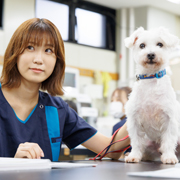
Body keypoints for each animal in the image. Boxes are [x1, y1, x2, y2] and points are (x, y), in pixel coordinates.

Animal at [124, 27, 180, 165]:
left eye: (160, 44)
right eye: (142, 45)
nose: (150, 54)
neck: (150, 79)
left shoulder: (169, 120)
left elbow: (168, 141)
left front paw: (169, 157)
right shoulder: (134, 120)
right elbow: (136, 142)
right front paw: (134, 155)